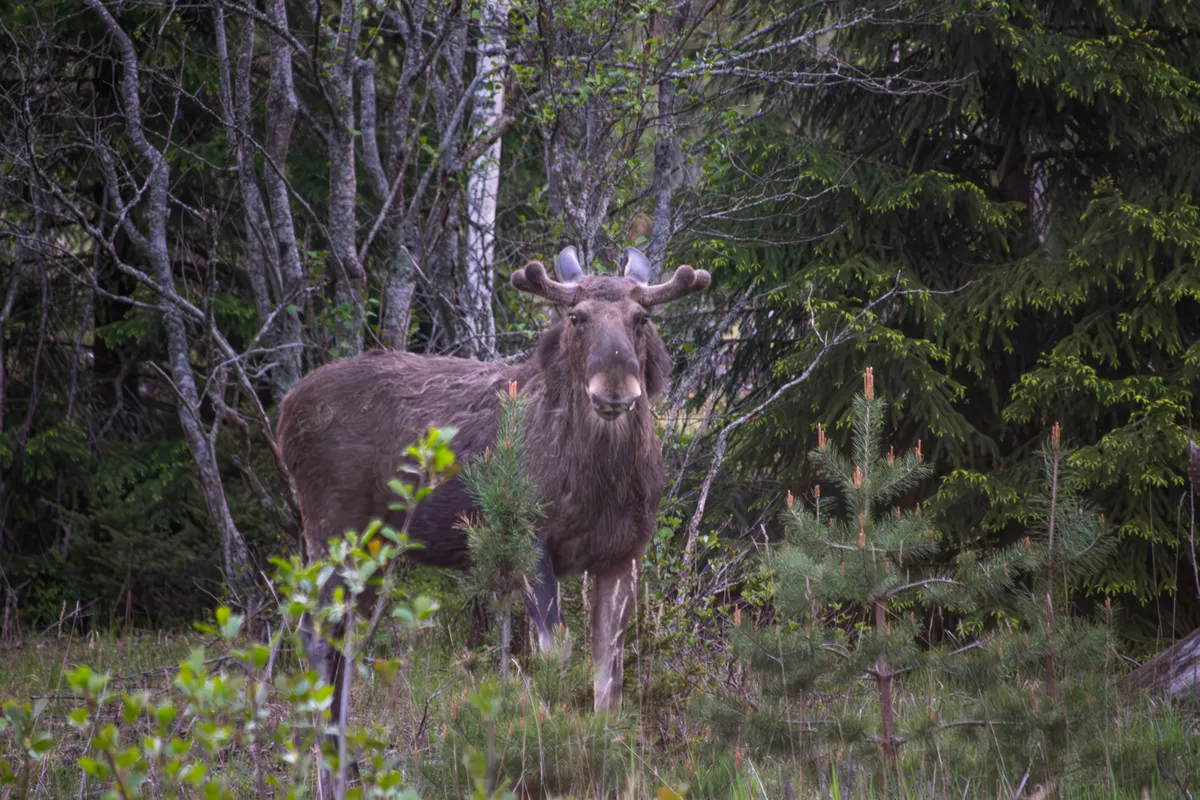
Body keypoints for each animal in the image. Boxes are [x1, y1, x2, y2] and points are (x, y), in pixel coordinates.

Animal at [276, 245, 710, 723]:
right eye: (576, 316)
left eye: (642, 318)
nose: (615, 387)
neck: (602, 485)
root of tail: (286, 410)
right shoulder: (532, 537)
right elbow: (554, 651)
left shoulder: (623, 552)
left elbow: (608, 667)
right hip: (332, 527)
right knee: (314, 633)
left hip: (374, 548)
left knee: (344, 637)